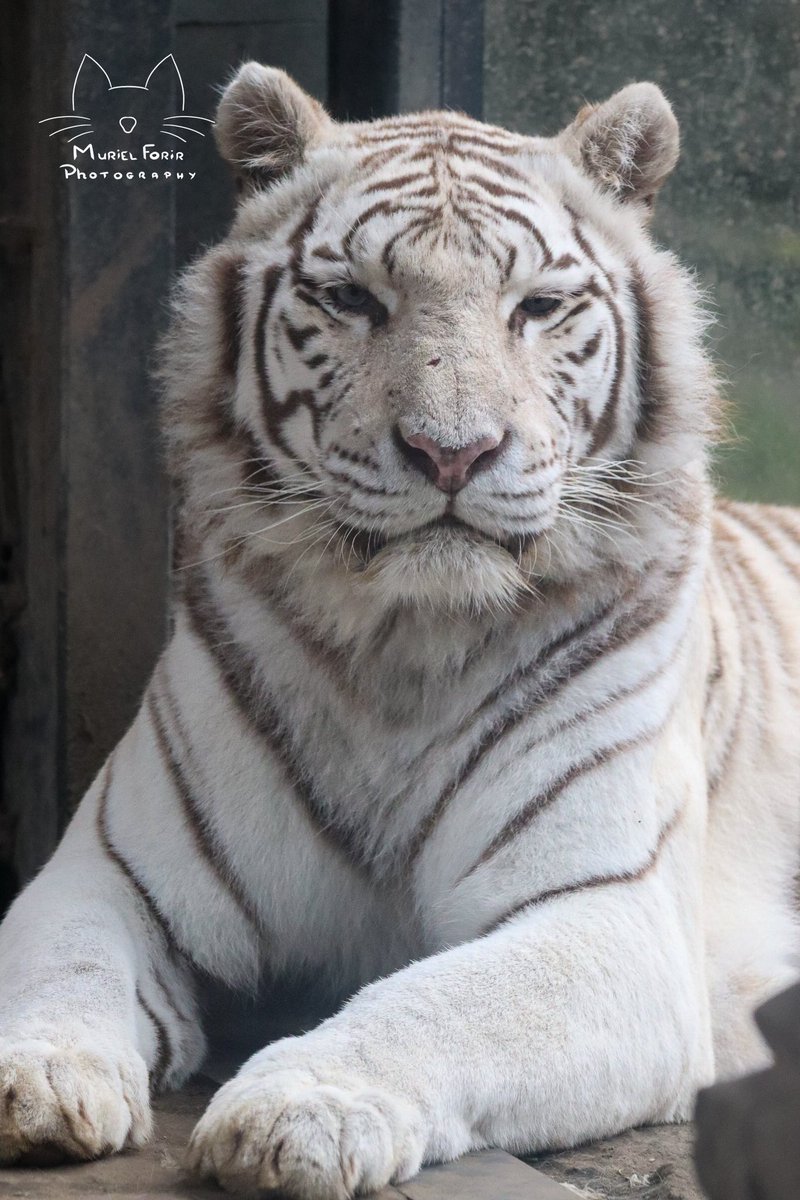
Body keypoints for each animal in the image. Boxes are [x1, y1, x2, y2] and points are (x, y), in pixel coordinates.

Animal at [0, 61, 798, 1199]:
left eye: (537, 307)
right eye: (351, 299)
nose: (451, 451)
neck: (405, 652)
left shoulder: (605, 914)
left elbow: (440, 1003)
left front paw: (300, 1109)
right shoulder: (110, 871)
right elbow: (60, 961)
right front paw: (38, 1076)